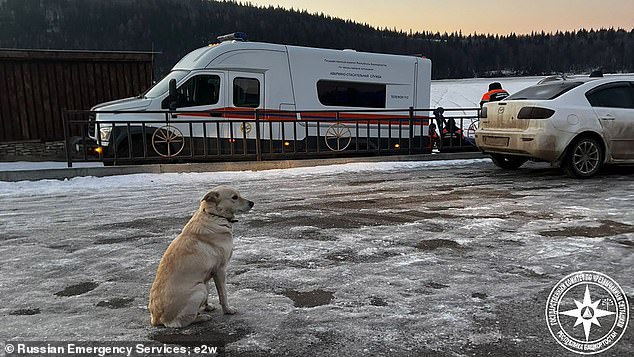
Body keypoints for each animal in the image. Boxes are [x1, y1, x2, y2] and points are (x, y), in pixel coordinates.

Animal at [148, 185, 254, 326]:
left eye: (239, 195)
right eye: (234, 197)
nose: (252, 203)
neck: (214, 215)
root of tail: (156, 319)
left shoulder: (207, 274)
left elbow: (210, 294)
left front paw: (207, 306)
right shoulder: (220, 270)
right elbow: (223, 294)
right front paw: (227, 310)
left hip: (201, 286)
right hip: (199, 290)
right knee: (181, 322)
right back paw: (202, 318)